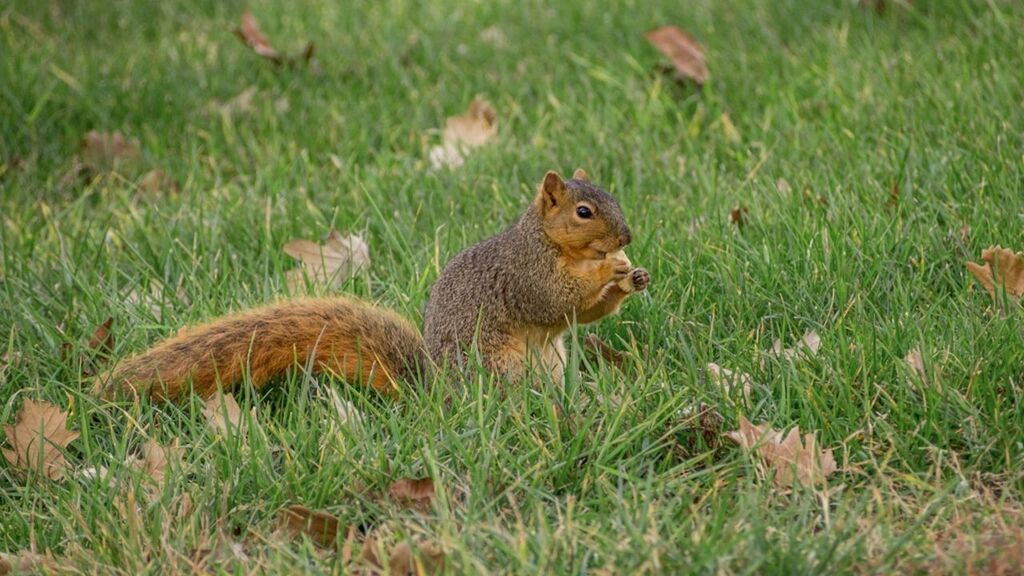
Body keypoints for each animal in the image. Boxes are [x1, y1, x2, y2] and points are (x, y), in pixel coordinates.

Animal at [101, 168, 647, 401]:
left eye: (614, 197)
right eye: (584, 212)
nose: (627, 236)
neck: (553, 244)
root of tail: (436, 395)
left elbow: (581, 313)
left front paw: (633, 276)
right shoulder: (524, 273)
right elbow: (556, 299)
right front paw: (610, 272)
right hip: (498, 366)